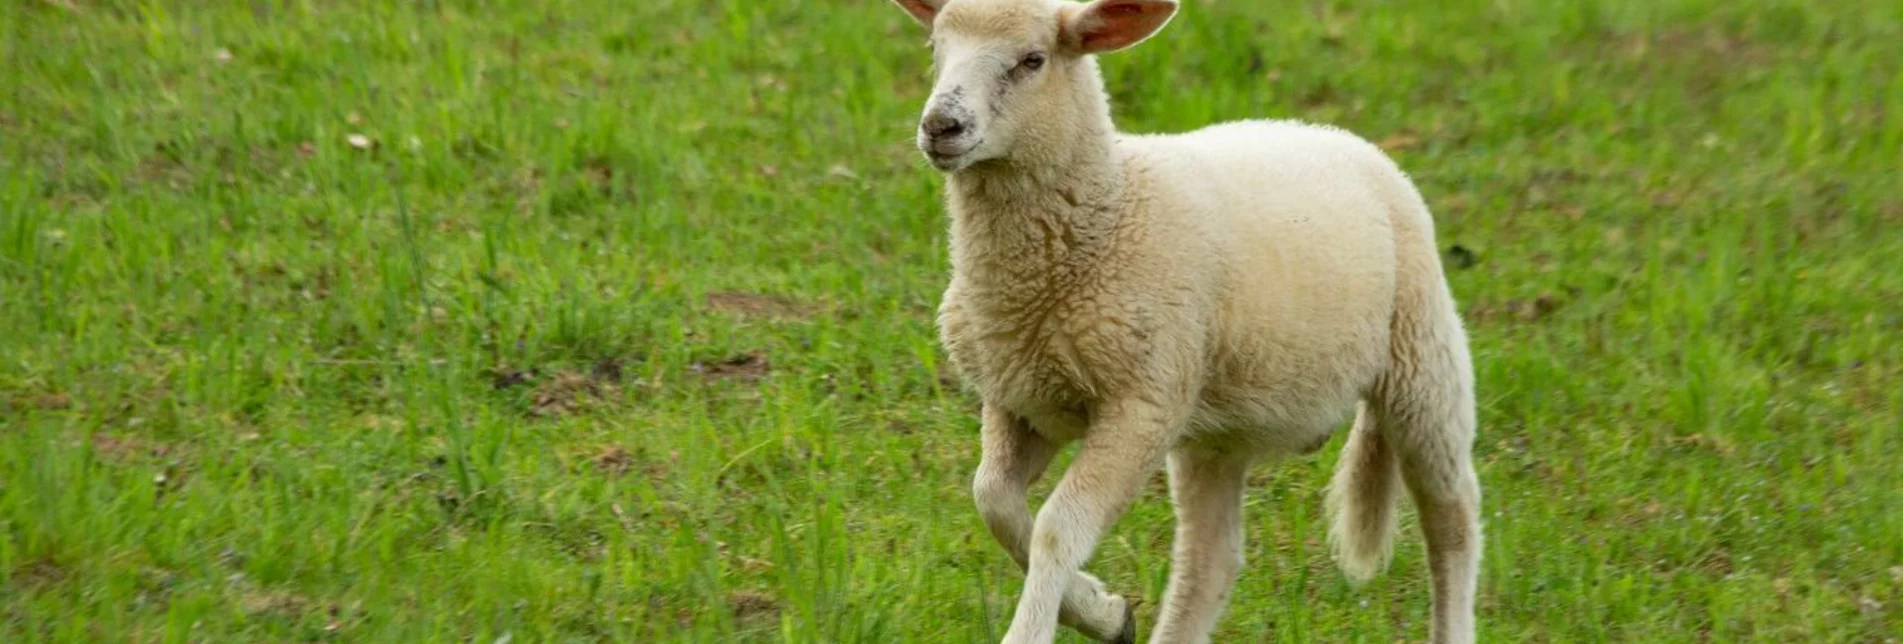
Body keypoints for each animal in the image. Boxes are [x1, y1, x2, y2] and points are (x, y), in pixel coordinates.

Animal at [882, 1, 1476, 644]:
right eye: (935, 48)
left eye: (1032, 60)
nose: (941, 126)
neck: (1108, 213)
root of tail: (1333, 135)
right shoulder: (1024, 398)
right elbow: (993, 500)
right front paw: (1104, 611)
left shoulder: (1140, 403)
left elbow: (1057, 528)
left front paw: (1043, 626)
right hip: (1218, 426)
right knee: (1209, 559)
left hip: (1422, 354)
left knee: (1453, 519)